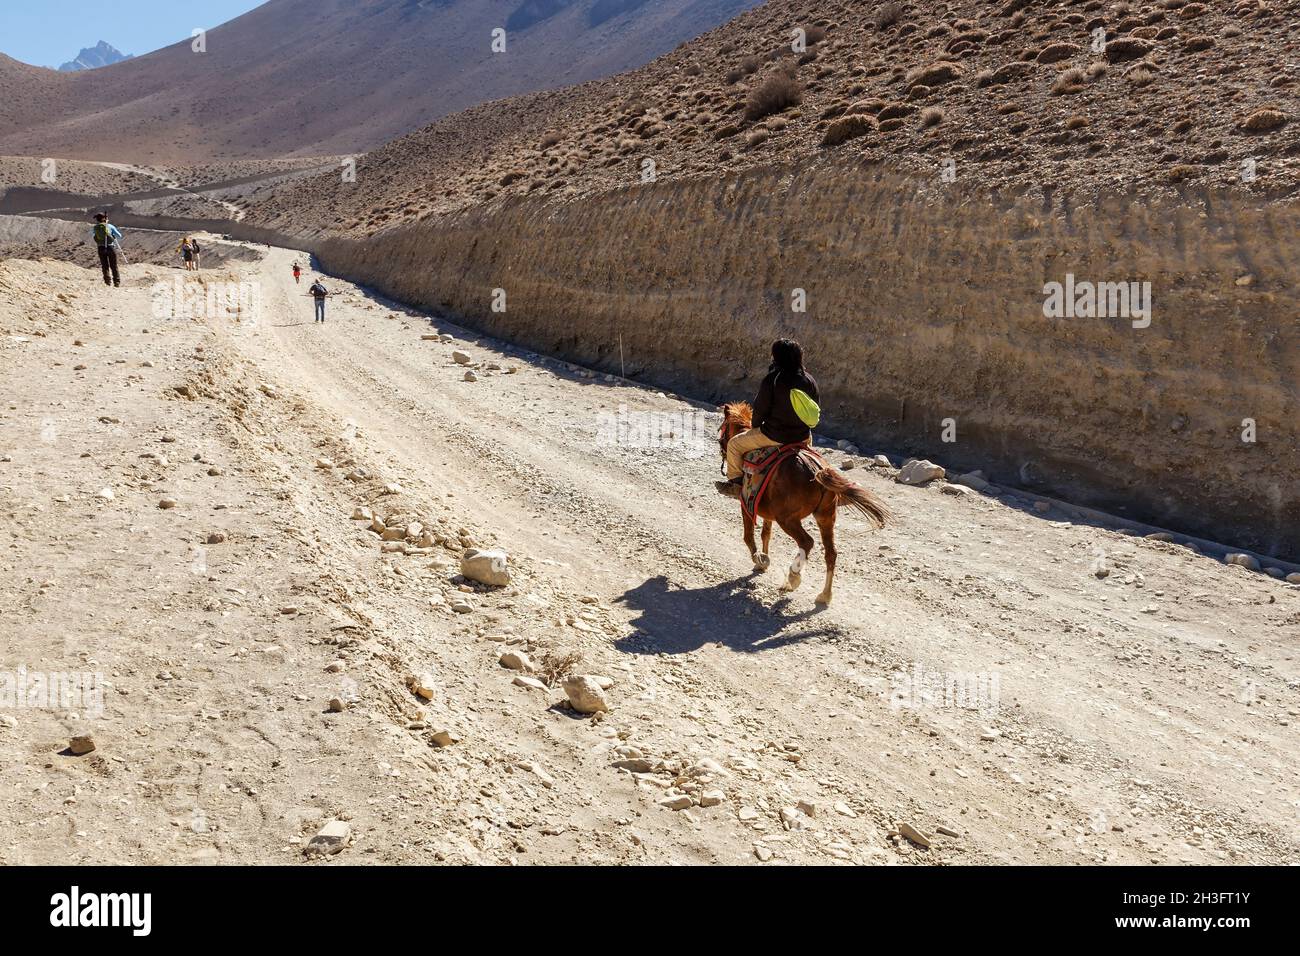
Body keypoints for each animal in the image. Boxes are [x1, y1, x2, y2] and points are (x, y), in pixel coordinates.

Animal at [717, 403, 889, 606]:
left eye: (722, 428)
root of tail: (817, 470)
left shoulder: (747, 504)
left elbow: (749, 537)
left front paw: (759, 560)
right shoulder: (767, 511)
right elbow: (766, 534)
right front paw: (764, 561)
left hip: (788, 519)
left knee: (807, 542)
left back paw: (793, 577)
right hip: (826, 517)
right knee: (831, 553)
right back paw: (824, 595)